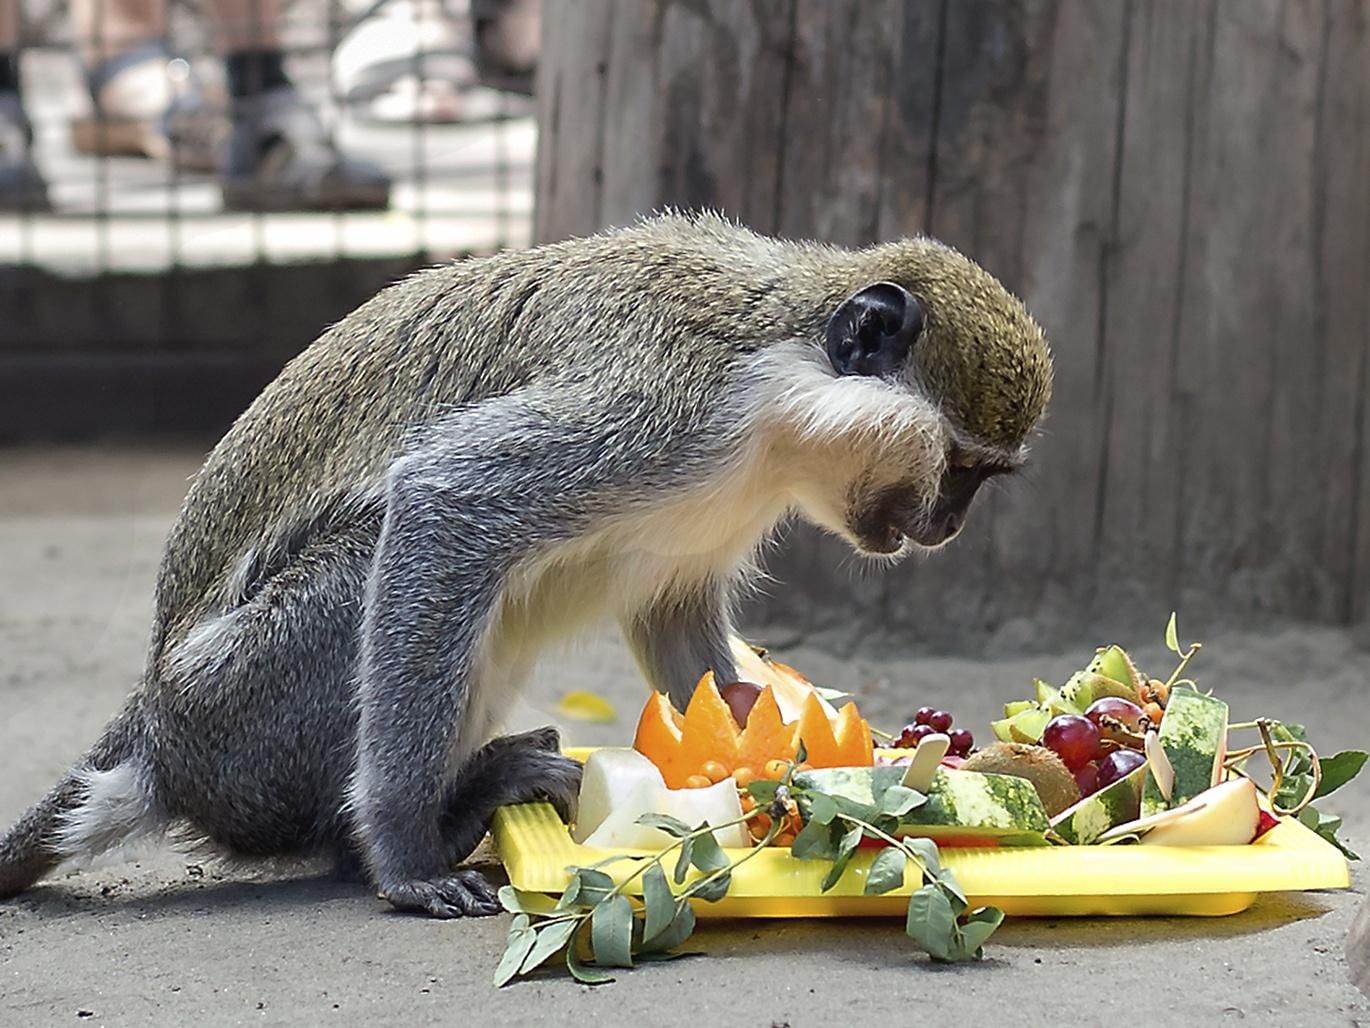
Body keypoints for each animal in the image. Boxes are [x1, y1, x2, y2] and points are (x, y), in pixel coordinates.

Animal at [0, 215, 1046, 915]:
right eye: (960, 469)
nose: (946, 526)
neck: (778, 390)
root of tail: (156, 719)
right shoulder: (665, 404)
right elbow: (442, 496)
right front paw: (404, 859)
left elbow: (680, 631)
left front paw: (788, 756)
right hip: (238, 709)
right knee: (375, 553)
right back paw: (426, 824)